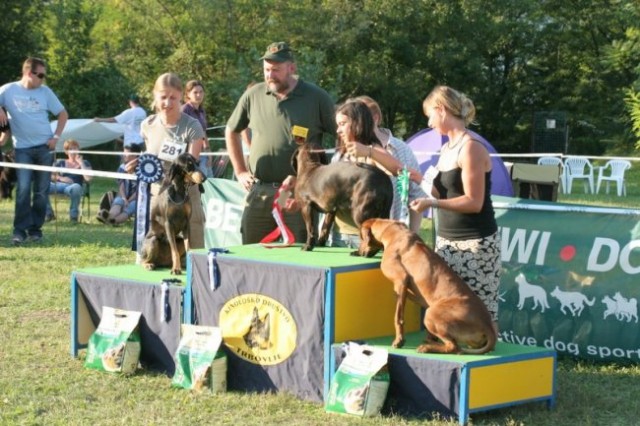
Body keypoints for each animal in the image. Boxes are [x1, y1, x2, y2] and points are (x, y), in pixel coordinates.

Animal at [358, 218, 498, 354]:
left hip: (431, 313)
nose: (358, 252)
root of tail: (488, 325)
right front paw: (429, 337)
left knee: (453, 347)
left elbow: (398, 317)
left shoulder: (401, 280)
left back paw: (427, 348)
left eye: (360, 237)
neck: (392, 230)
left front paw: (399, 340)